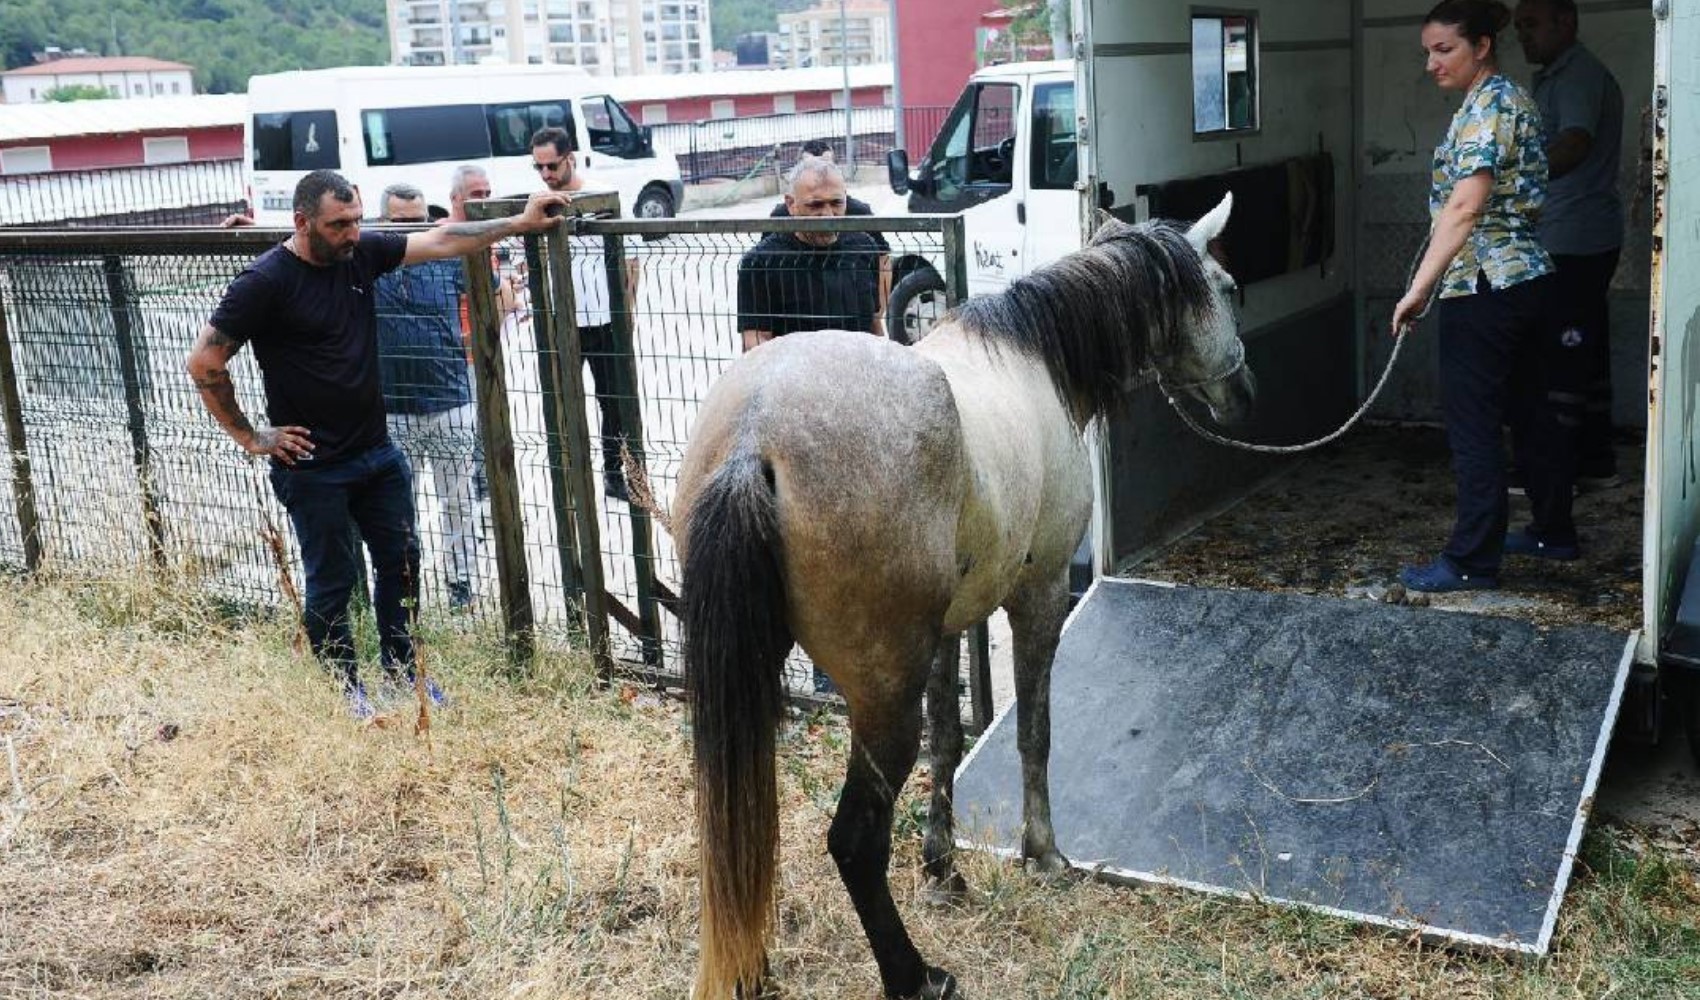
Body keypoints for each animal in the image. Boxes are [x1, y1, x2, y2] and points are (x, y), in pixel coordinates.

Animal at [675, 194, 1252, 1000]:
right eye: (1226, 286)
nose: (1243, 394)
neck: (1034, 356)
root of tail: (756, 433)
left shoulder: (947, 628)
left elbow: (950, 738)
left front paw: (942, 867)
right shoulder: (1040, 598)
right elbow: (1033, 732)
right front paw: (1044, 855)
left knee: (740, 821)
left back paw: (750, 966)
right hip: (882, 695)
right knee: (853, 840)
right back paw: (915, 975)